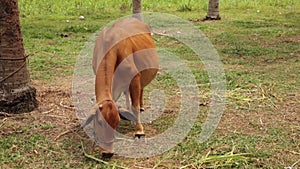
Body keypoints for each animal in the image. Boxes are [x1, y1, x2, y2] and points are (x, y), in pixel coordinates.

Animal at [87, 17, 159, 158]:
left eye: (116, 123)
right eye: (99, 122)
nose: (108, 153)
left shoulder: (135, 77)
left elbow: (135, 106)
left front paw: (139, 131)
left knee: (140, 92)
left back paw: (141, 107)